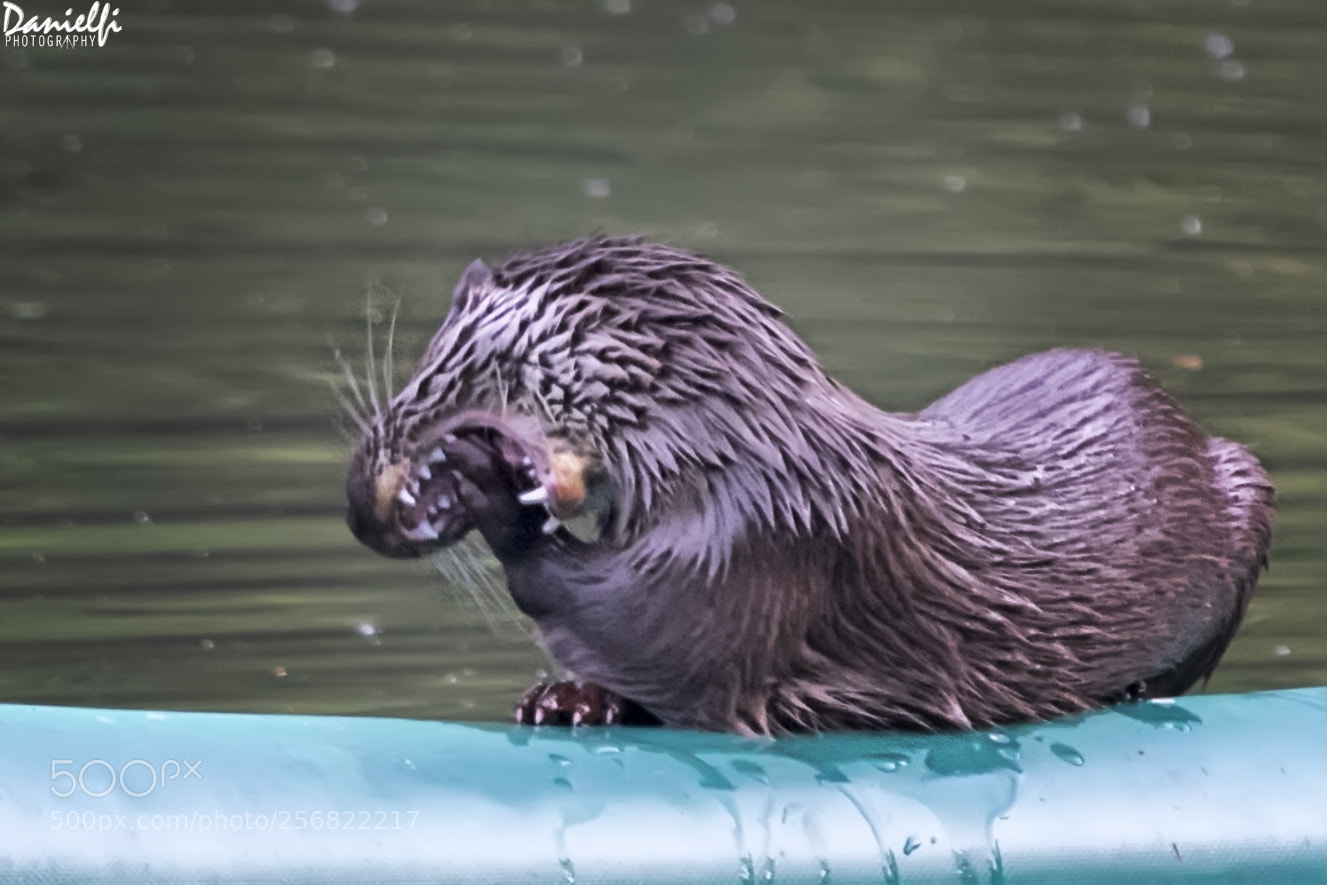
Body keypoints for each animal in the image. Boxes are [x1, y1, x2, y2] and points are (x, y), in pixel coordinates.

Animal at [345, 236, 1273, 735]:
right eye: (418, 374)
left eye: (460, 388)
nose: (363, 502)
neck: (731, 441)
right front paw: (566, 698)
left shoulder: (754, 541)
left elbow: (648, 628)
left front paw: (483, 486)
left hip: (1245, 486)